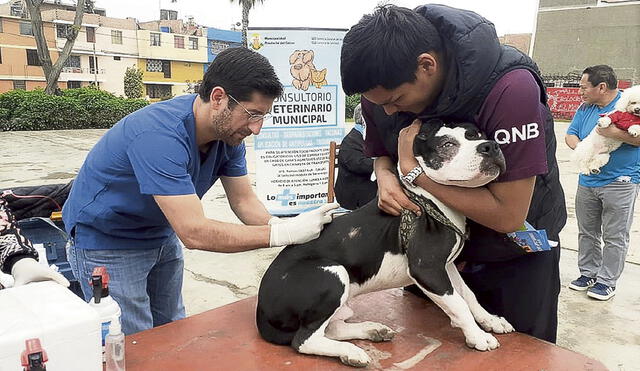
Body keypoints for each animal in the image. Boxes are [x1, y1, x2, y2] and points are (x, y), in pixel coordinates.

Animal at [256, 120, 516, 368]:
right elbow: (459, 304)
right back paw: (352, 352)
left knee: (330, 328)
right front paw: (478, 337)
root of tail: (261, 309)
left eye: (478, 135)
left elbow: (467, 294)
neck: (427, 197)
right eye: (447, 145)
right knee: (303, 340)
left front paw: (490, 320)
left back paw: (371, 331)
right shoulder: (427, 269)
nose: (490, 146)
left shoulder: (445, 266)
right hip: (332, 273)